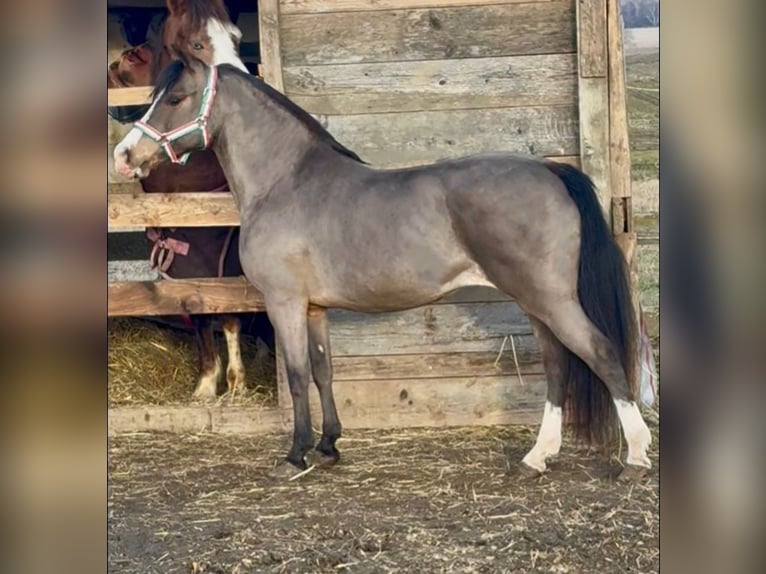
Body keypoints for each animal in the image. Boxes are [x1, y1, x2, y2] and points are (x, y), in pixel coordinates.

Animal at [108, 0, 267, 400]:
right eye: (196, 43)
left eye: (237, 38)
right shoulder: (180, 254)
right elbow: (196, 308)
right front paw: (207, 383)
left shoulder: (222, 252)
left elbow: (228, 309)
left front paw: (236, 384)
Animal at [113, 57, 653, 480]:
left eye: (176, 97)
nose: (124, 155)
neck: (286, 180)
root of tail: (549, 170)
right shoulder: (315, 309)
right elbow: (324, 372)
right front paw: (328, 447)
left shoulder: (284, 302)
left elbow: (296, 374)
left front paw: (295, 456)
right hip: (535, 302)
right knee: (559, 364)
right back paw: (537, 458)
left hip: (550, 299)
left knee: (602, 353)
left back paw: (635, 457)